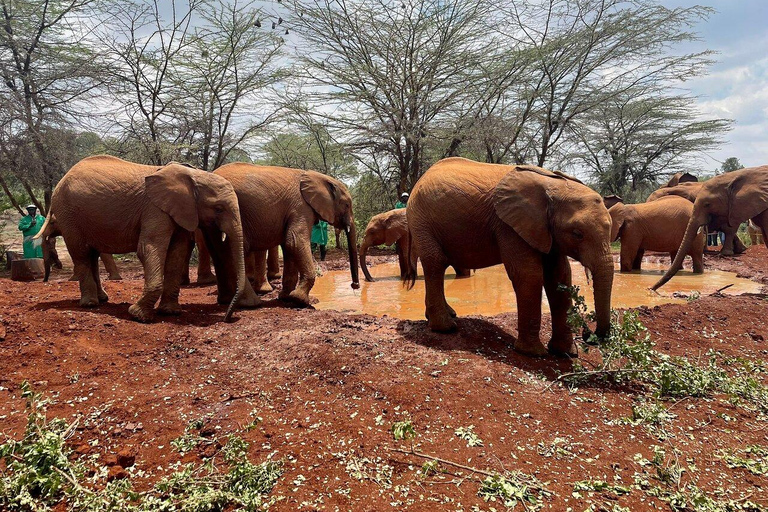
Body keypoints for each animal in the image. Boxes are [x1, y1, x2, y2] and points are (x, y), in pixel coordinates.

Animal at [38, 154, 255, 322]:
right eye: (218, 209)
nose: (228, 317)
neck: (194, 175)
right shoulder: (154, 209)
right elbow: (149, 248)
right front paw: (138, 316)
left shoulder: (180, 212)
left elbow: (178, 252)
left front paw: (170, 312)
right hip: (68, 214)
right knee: (81, 253)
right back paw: (90, 304)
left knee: (92, 254)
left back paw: (102, 300)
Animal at [210, 162, 360, 304]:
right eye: (347, 205)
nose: (355, 285)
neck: (319, 177)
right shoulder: (300, 206)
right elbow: (295, 242)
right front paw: (299, 300)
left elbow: (289, 246)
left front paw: (286, 297)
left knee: (219, 251)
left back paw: (226, 300)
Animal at [404, 158, 616, 358]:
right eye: (578, 233)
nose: (588, 335)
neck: (552, 184)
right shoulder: (508, 225)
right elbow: (529, 275)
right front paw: (533, 353)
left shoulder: (546, 231)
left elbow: (560, 276)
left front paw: (565, 353)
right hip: (420, 219)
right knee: (435, 262)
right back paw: (446, 328)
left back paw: (447, 316)